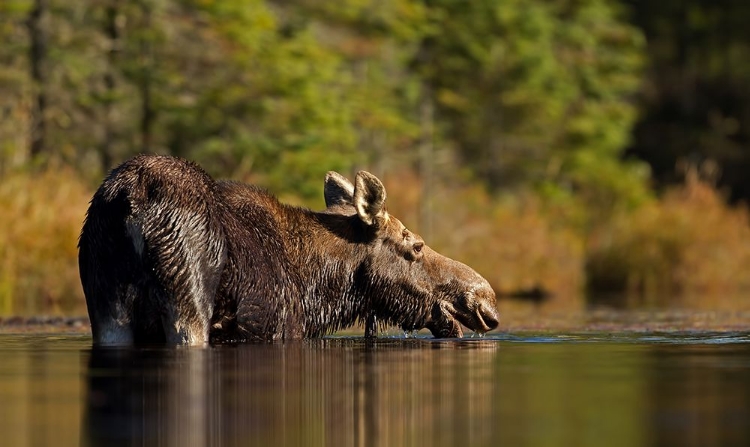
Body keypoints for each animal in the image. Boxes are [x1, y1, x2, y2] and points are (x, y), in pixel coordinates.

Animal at [79, 155, 500, 346]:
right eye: (416, 246)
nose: (485, 299)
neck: (323, 292)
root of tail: (131, 197)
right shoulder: (282, 329)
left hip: (106, 306)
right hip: (189, 300)